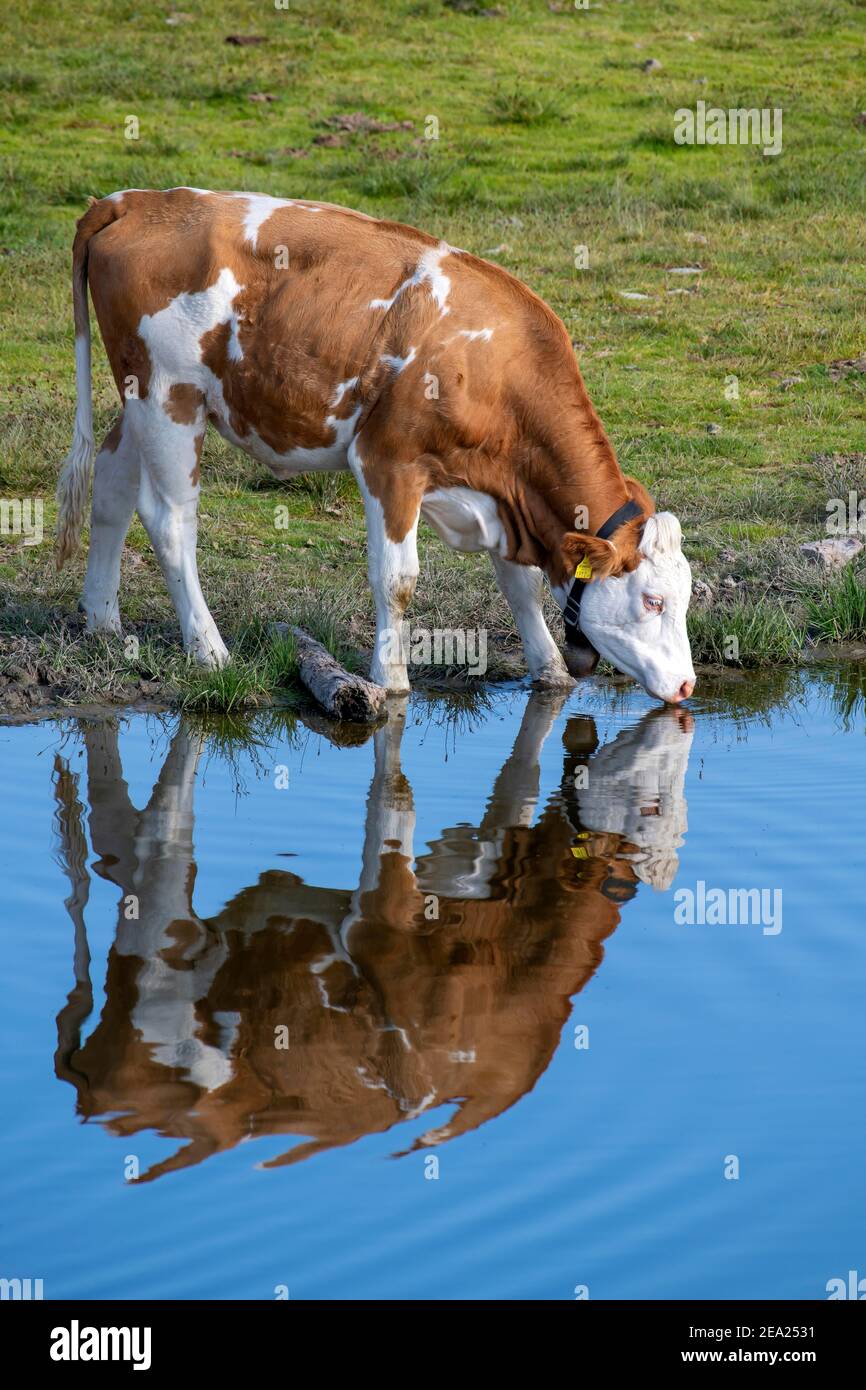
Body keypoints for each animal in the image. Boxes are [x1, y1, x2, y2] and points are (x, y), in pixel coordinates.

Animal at [55, 184, 697, 700]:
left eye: (686, 598)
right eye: (653, 601)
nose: (688, 685)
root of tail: (135, 200)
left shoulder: (501, 492)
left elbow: (522, 587)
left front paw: (550, 671)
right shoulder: (389, 463)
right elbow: (398, 580)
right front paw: (391, 681)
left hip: (140, 398)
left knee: (111, 487)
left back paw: (102, 619)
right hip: (169, 396)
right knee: (169, 522)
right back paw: (209, 650)